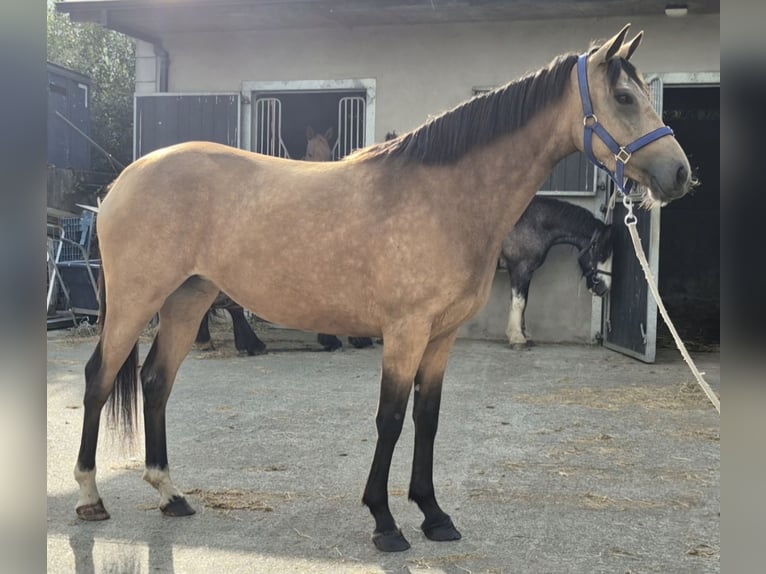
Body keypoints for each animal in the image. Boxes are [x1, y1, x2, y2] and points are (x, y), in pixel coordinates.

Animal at [500, 195, 613, 347]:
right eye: (601, 254)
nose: (604, 288)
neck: (533, 223)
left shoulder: (527, 273)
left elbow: (524, 302)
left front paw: (523, 334)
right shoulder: (520, 269)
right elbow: (519, 302)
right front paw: (517, 337)